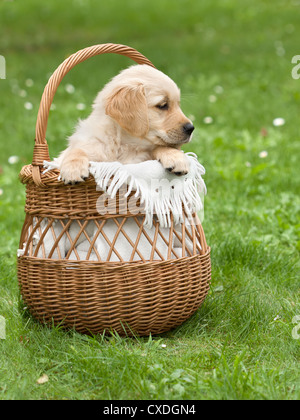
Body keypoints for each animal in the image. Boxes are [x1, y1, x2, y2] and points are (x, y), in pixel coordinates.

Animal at [58, 64, 195, 184]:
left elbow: (159, 146)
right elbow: (76, 150)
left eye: (178, 105)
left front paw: (175, 156)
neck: (126, 145)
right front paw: (73, 169)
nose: (191, 128)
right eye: (163, 105)